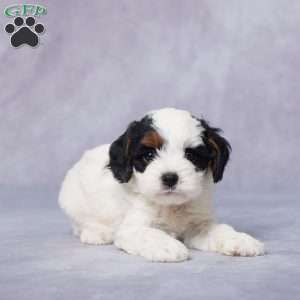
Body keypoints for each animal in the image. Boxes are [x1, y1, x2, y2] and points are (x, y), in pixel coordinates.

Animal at [59, 108, 264, 262]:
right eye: (149, 155)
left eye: (191, 155)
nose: (170, 178)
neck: (171, 206)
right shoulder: (132, 228)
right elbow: (149, 233)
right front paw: (168, 246)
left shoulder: (198, 224)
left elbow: (219, 230)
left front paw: (240, 240)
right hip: (73, 201)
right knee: (81, 224)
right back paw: (96, 233)